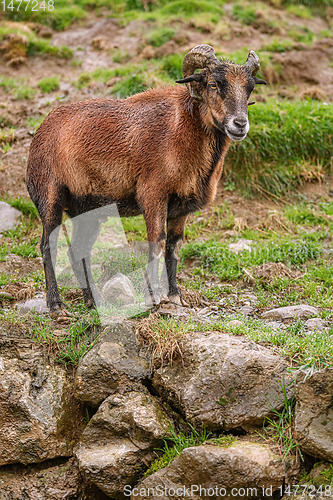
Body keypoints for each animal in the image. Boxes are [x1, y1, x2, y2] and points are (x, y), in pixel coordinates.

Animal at [25, 44, 264, 316]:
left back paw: (95, 301)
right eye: (214, 84)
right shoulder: (153, 195)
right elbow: (156, 243)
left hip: (87, 211)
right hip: (49, 196)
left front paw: (175, 296)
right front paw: (155, 296)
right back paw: (56, 304)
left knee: (79, 251)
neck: (182, 130)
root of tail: (40, 132)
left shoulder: (181, 207)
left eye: (250, 88)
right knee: (48, 246)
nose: (240, 125)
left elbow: (173, 249)